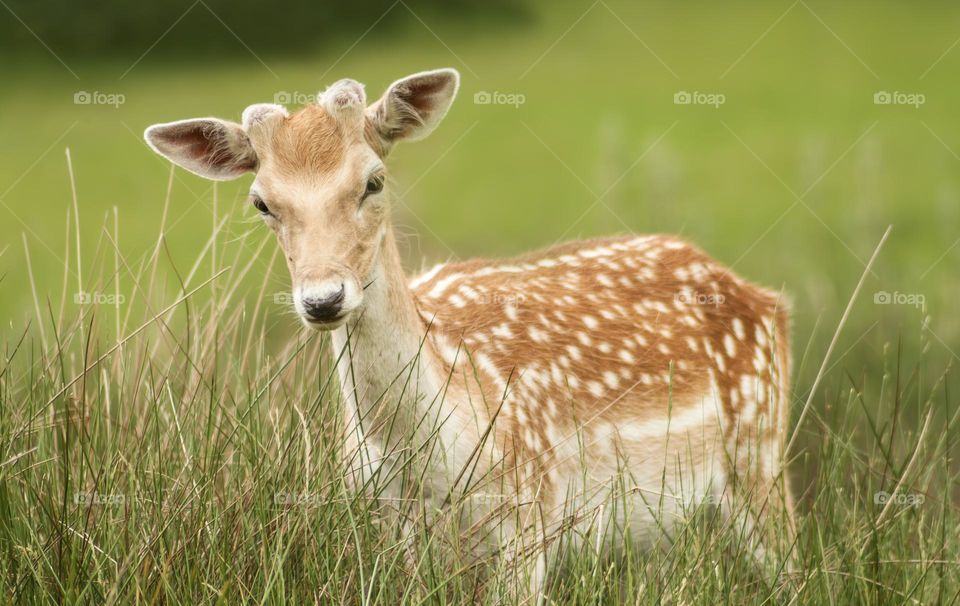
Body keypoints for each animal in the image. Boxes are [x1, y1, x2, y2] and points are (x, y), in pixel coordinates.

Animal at [146, 69, 800, 600]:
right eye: (262, 202)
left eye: (374, 181)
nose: (323, 299)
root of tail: (761, 296)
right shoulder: (386, 538)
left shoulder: (530, 516)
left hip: (761, 455)